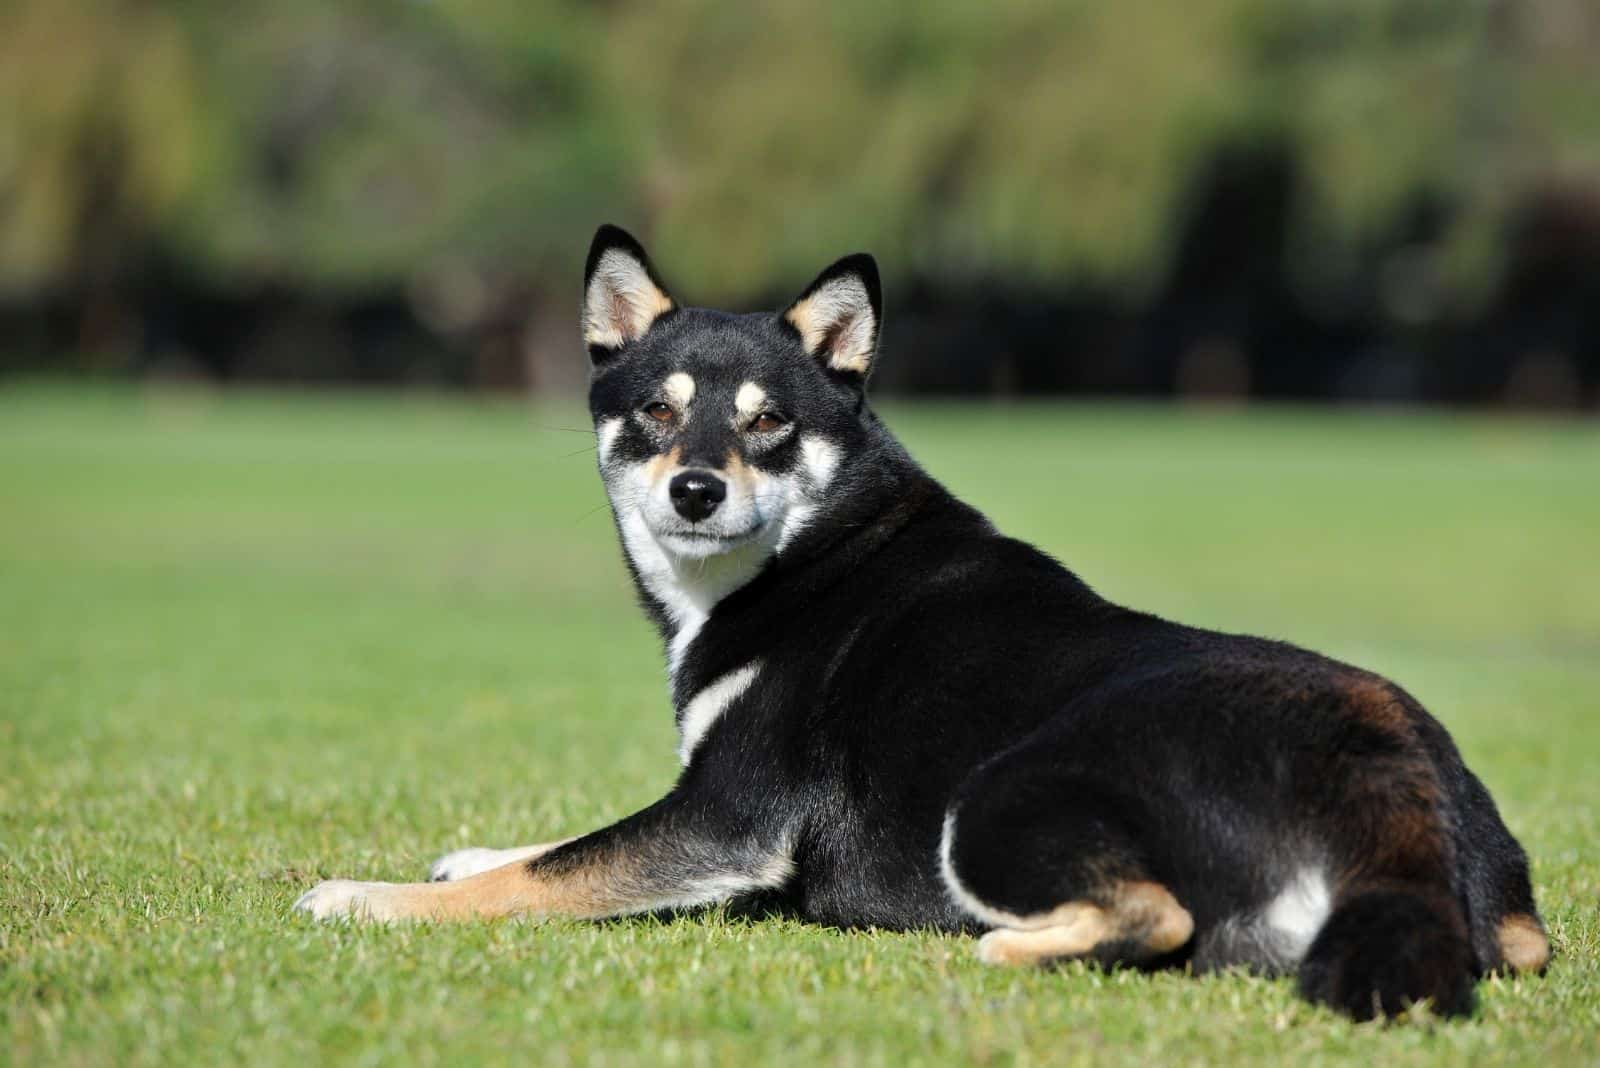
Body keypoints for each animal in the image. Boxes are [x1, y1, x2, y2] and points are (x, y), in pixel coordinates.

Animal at [291, 223, 1548, 1016]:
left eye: (768, 424)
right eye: (655, 411)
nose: (693, 491)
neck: (810, 553)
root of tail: (1388, 776)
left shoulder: (728, 819)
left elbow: (545, 877)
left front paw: (368, 897)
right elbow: (548, 848)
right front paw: (463, 852)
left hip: (992, 801)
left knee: (1152, 917)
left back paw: (991, 945)